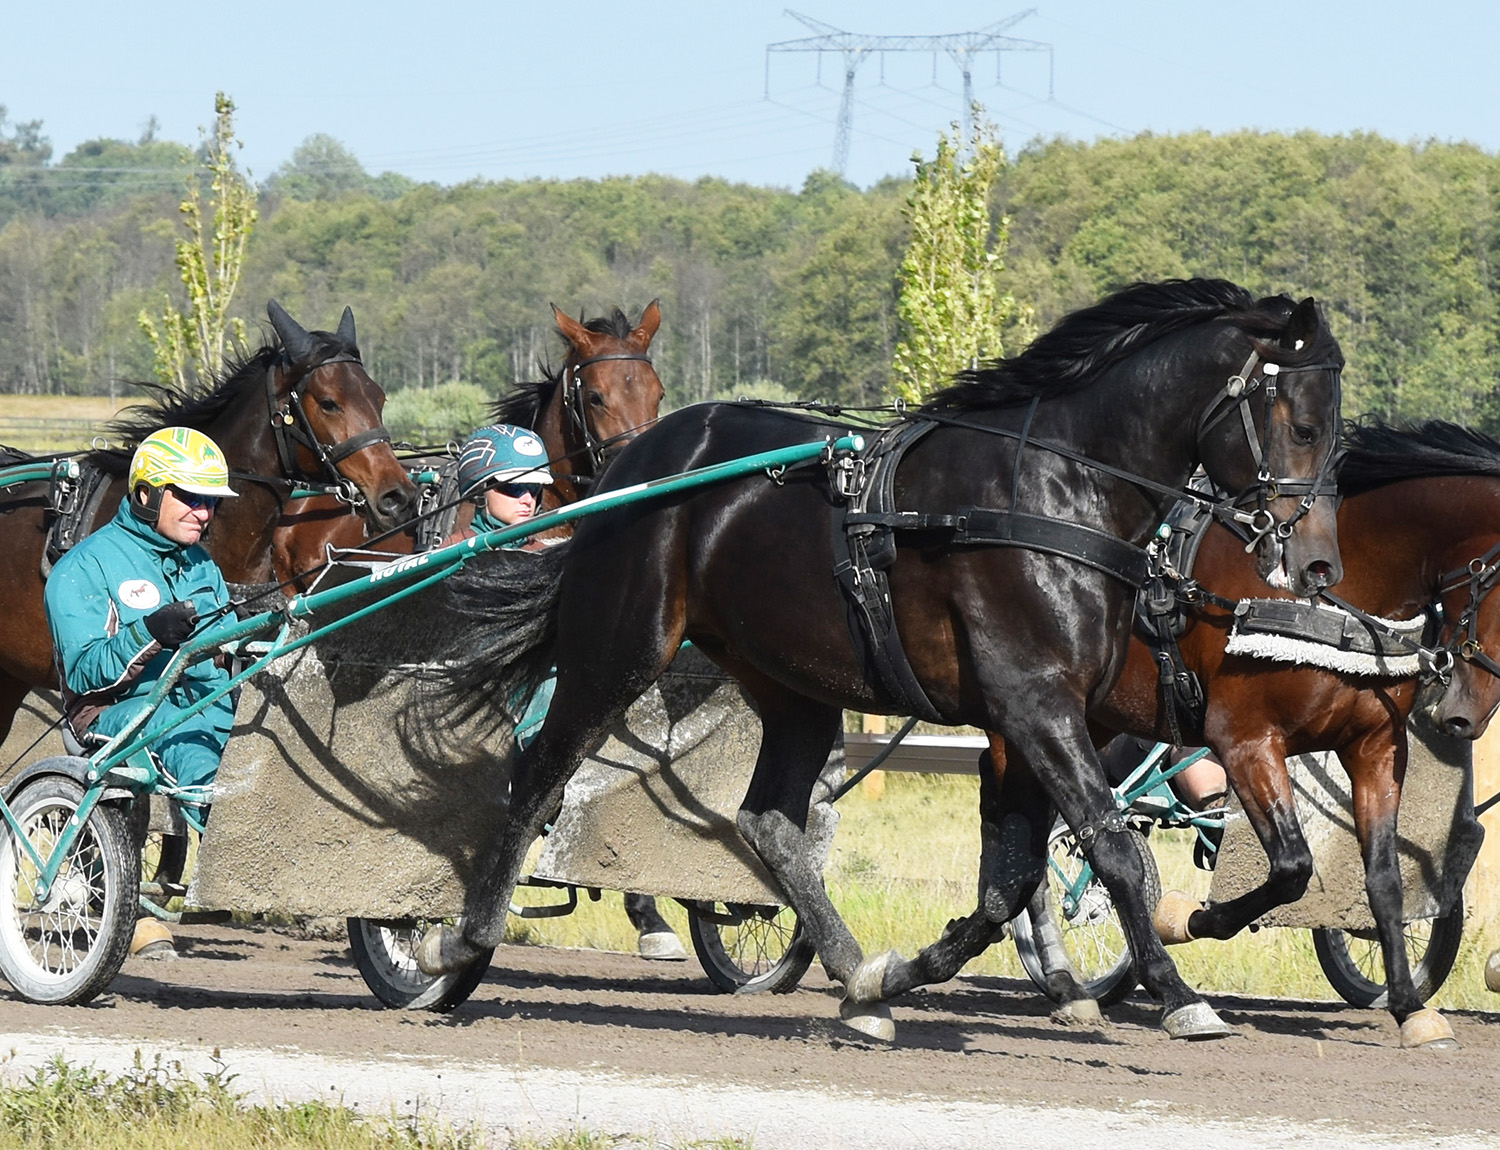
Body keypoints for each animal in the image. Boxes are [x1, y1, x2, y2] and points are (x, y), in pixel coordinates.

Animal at [426, 281, 1350, 1043]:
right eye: (1303, 426)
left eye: (1336, 435)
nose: (1316, 565)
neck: (1050, 493)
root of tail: (637, 466)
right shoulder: (1035, 706)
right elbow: (1112, 852)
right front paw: (1180, 993)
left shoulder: (1035, 718)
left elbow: (1008, 883)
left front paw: (906, 973)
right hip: (619, 646)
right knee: (537, 775)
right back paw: (457, 952)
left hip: (788, 682)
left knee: (768, 821)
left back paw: (855, 977)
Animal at [870, 422, 1500, 1055]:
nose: (1463, 717)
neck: (1325, 600)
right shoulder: (1246, 739)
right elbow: (1291, 867)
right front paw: (1186, 919)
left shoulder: (1374, 744)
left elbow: (1384, 877)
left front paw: (1408, 1004)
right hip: (1038, 711)